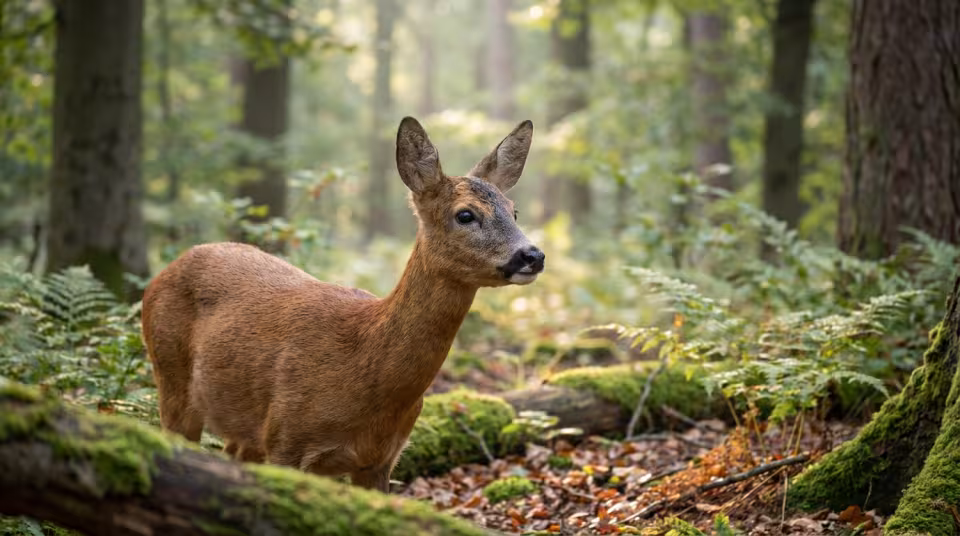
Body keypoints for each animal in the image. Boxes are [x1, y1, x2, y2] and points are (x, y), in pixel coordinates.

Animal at [141, 117, 544, 492]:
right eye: (465, 214)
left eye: (514, 211)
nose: (533, 255)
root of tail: (161, 274)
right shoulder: (286, 439)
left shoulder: (381, 460)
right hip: (171, 377)